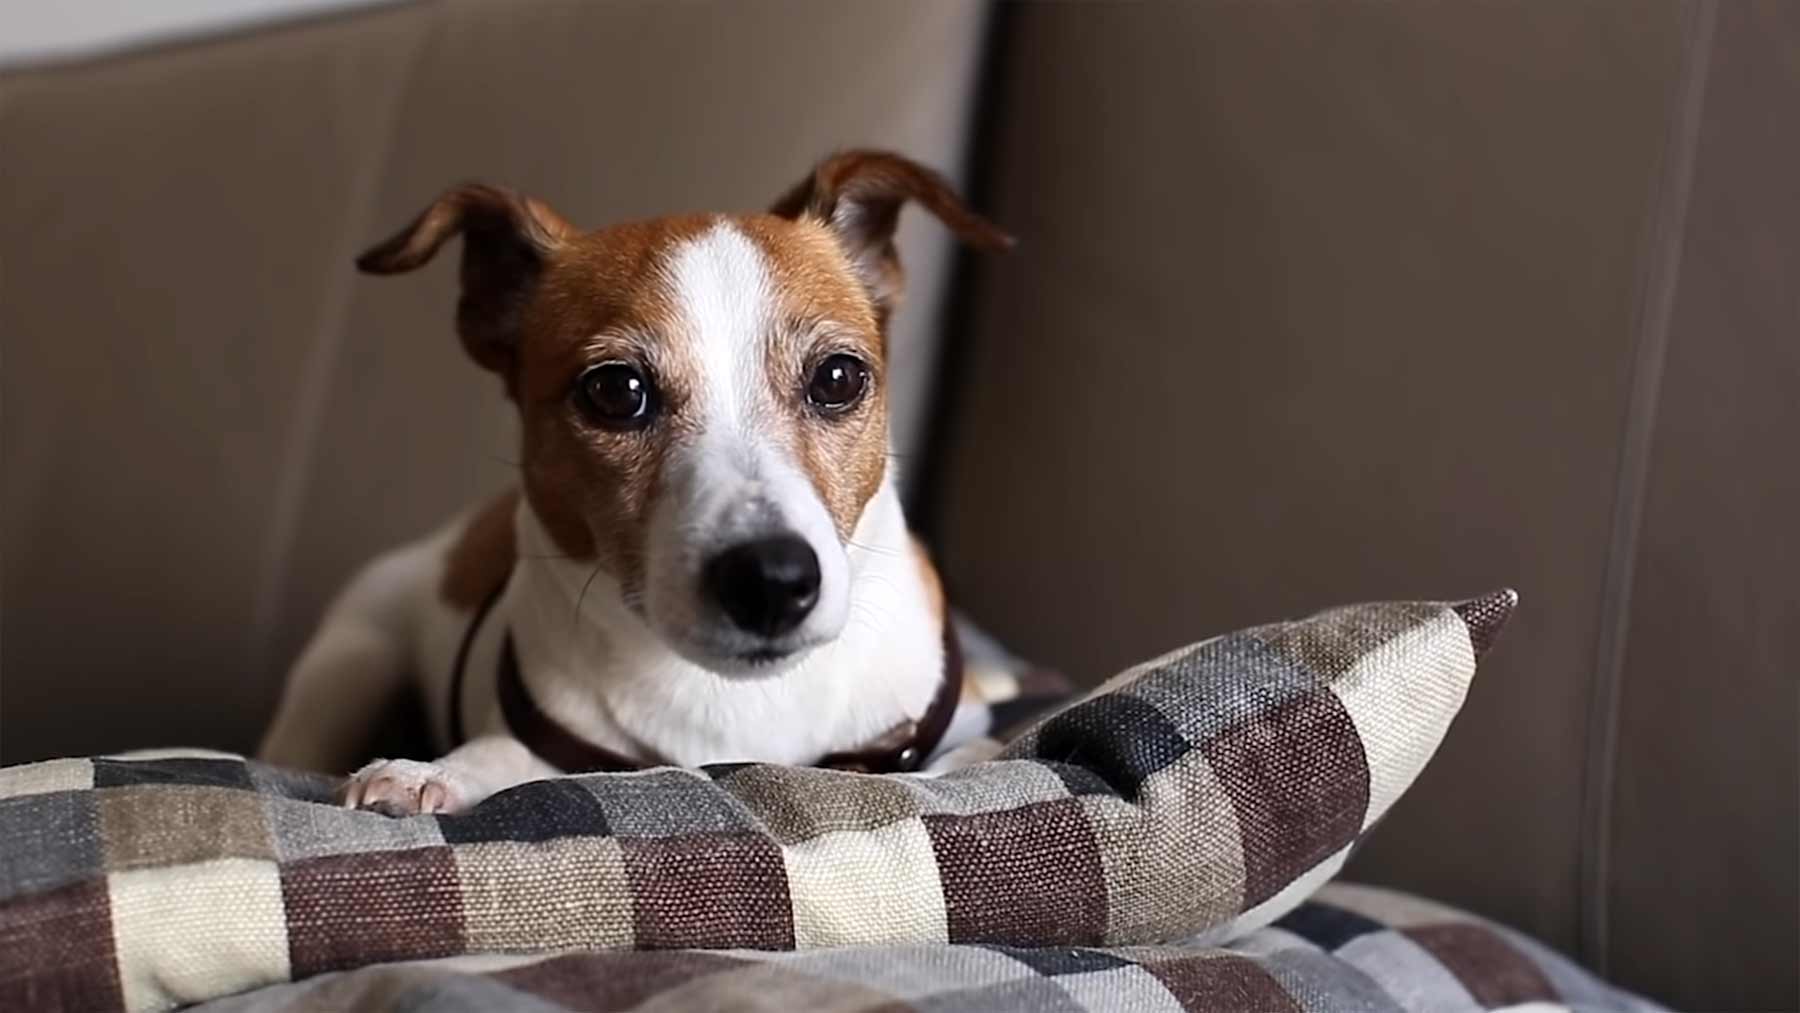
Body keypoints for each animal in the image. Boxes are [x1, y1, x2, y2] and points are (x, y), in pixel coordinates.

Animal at [256, 151, 1011, 815]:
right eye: (617, 391)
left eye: (838, 378)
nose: (771, 579)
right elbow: (499, 751)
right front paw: (428, 772)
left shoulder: (950, 728)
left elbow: (975, 753)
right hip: (350, 663)